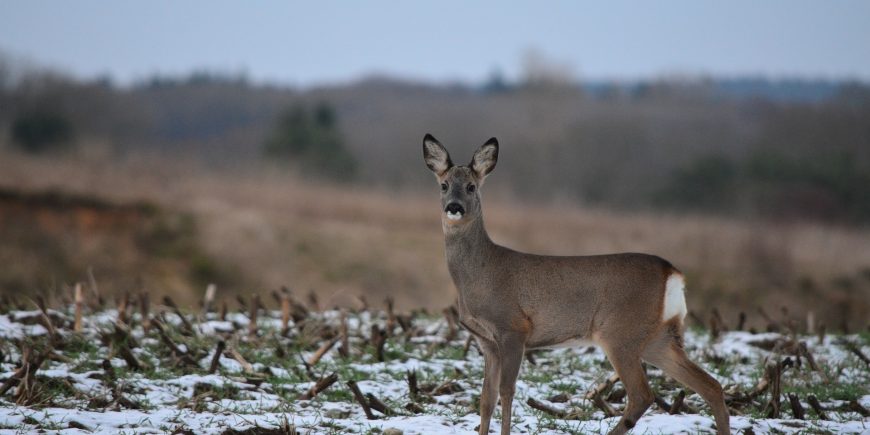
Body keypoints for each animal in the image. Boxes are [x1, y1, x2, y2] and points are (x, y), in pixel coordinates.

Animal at [422, 133, 728, 435]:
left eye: (472, 186)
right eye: (444, 185)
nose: (454, 207)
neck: (479, 274)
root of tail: (673, 273)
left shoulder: (513, 328)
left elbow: (506, 392)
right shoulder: (485, 340)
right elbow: (486, 397)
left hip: (620, 332)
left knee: (643, 394)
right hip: (659, 337)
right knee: (711, 385)